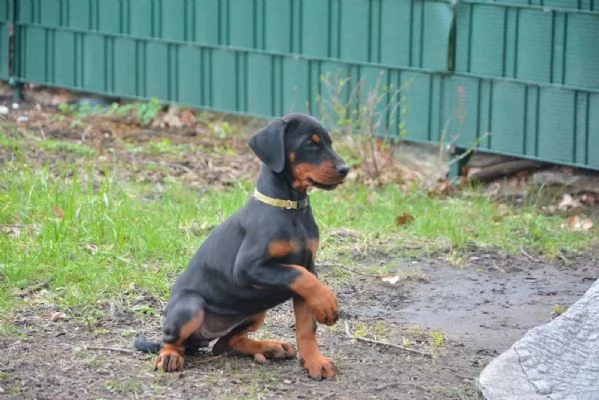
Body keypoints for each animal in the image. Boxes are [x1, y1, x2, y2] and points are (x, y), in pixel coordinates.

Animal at [135, 111, 352, 378]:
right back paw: (169, 356)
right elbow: (299, 276)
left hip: (256, 311)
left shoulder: (307, 268)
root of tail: (202, 338)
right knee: (173, 340)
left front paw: (315, 362)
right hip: (190, 306)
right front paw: (327, 305)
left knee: (224, 343)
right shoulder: (249, 267)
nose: (345, 169)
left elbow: (306, 325)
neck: (290, 209)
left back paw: (271, 347)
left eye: (330, 143)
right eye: (309, 144)